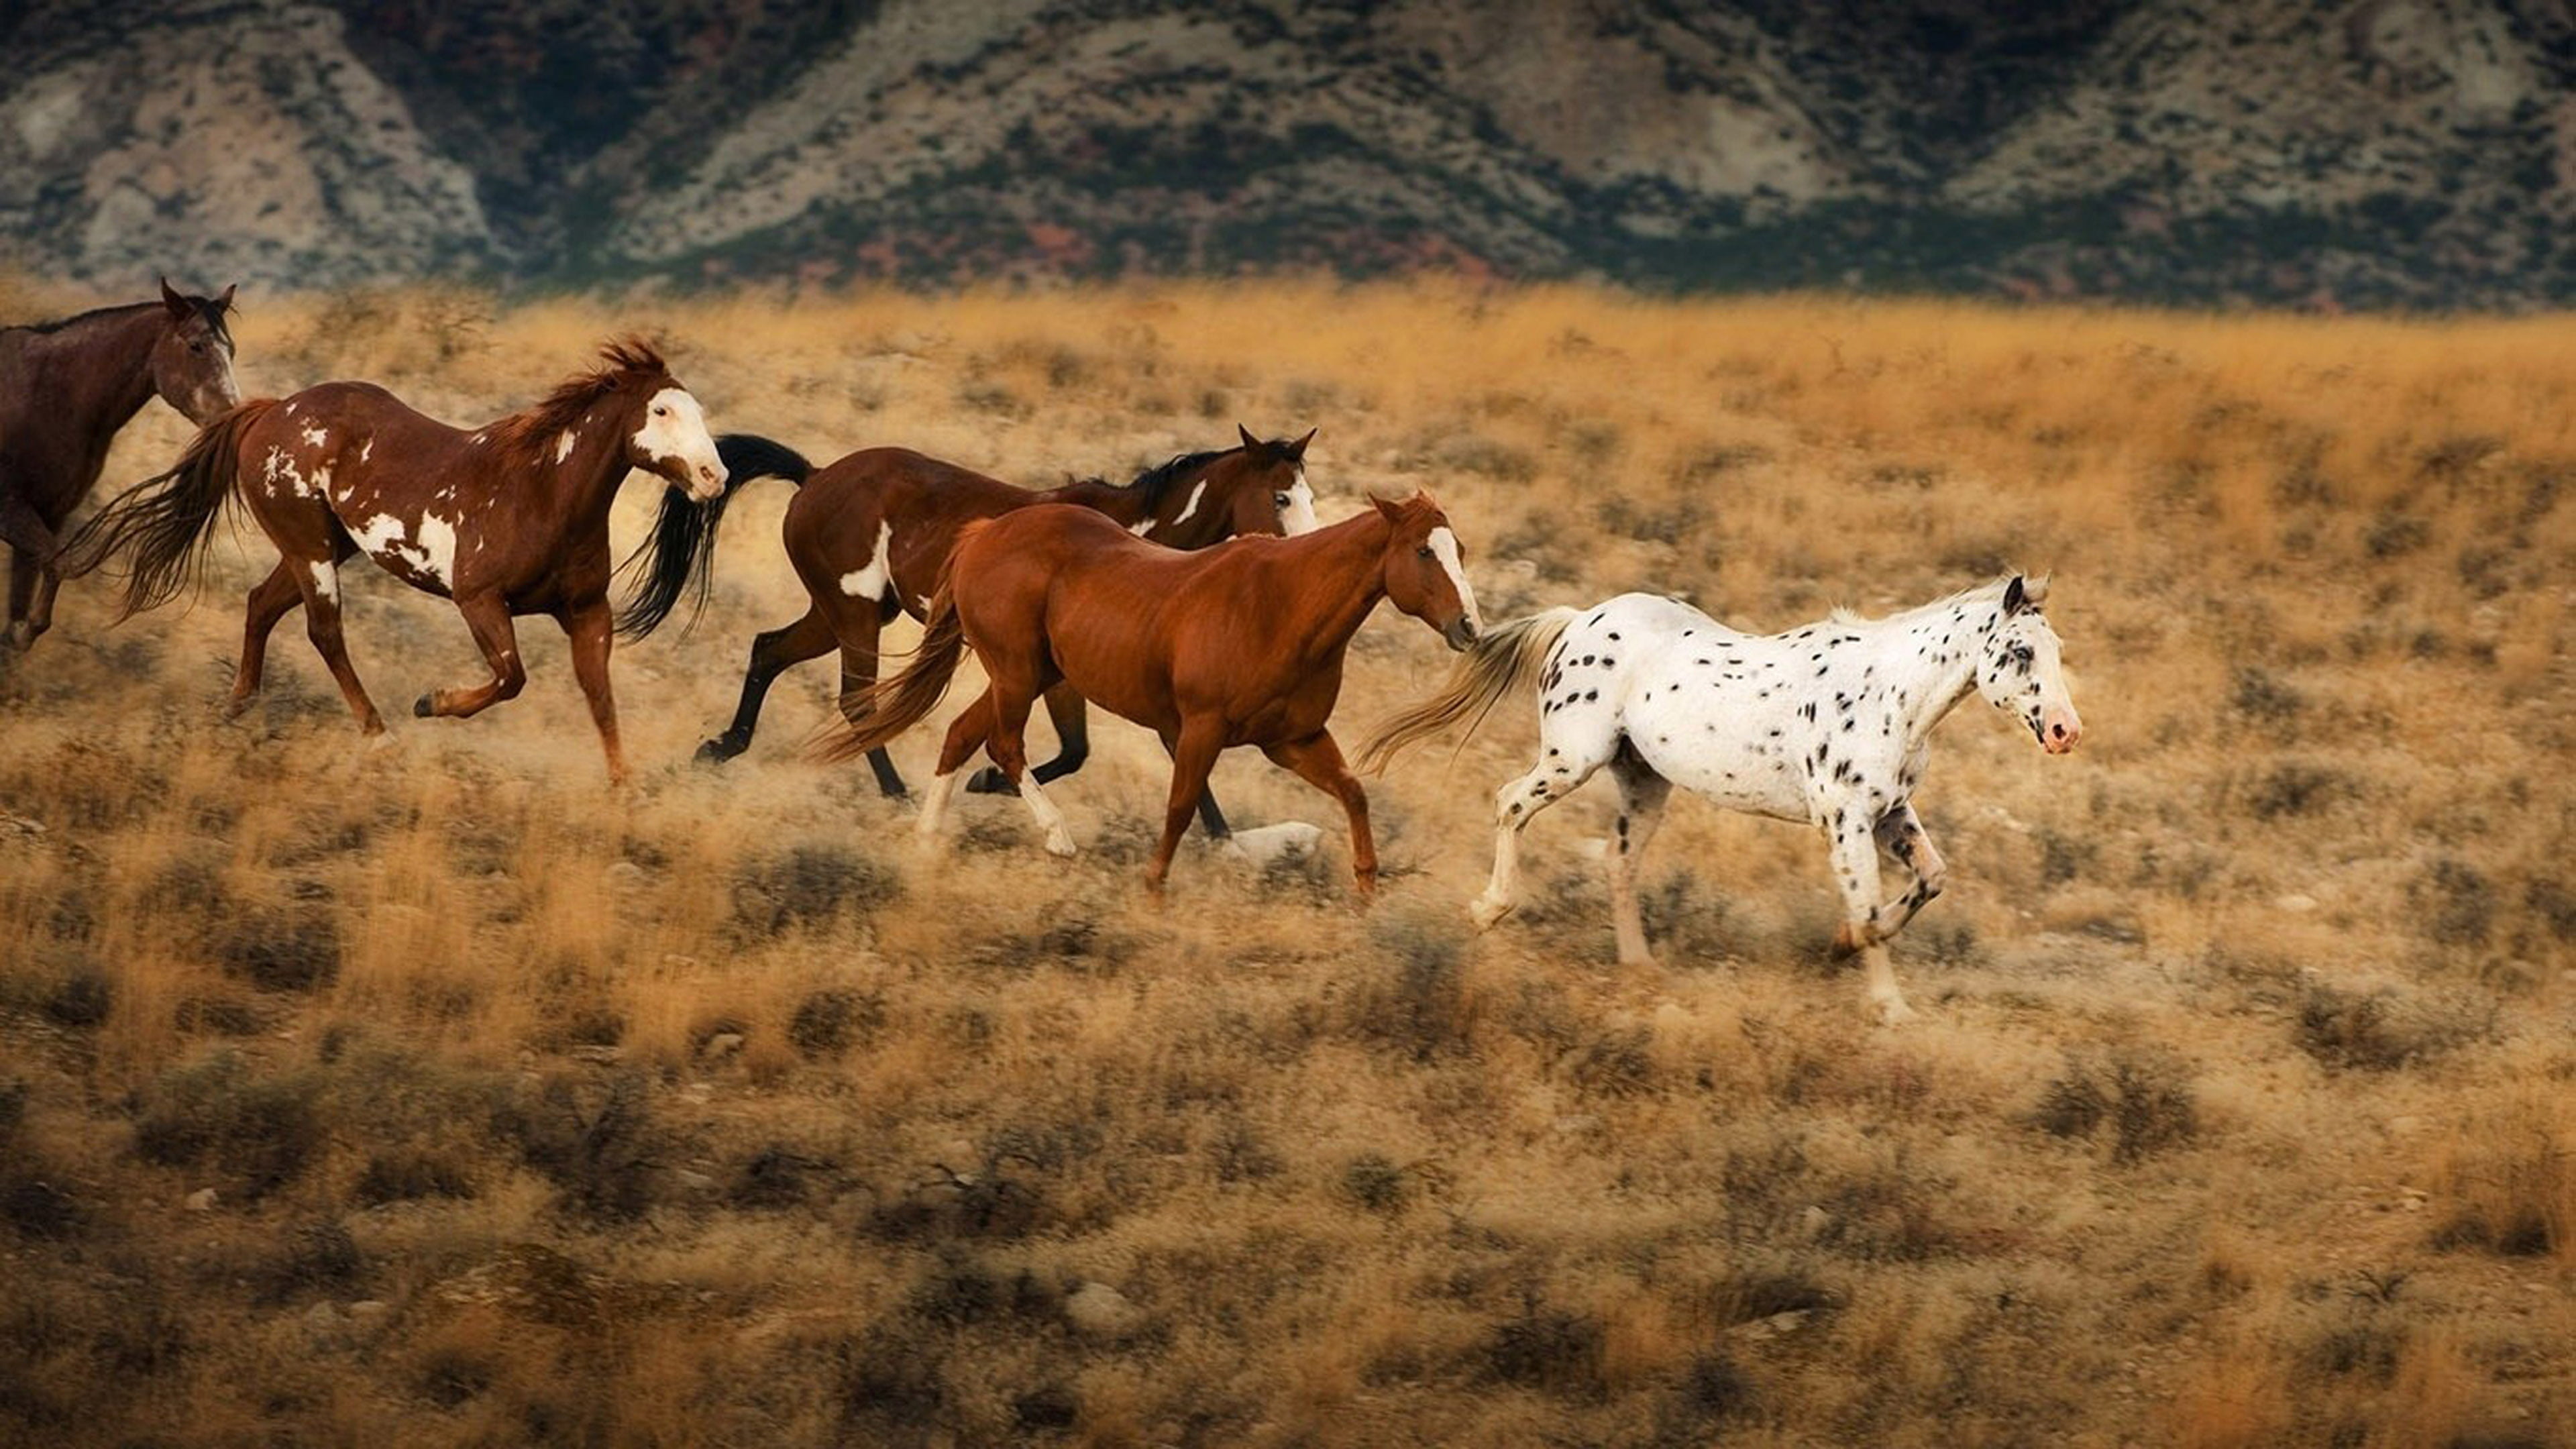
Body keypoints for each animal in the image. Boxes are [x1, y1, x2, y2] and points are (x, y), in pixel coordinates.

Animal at [0, 279, 240, 651]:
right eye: (196, 346)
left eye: (231, 351)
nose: (233, 417)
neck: (51, 395)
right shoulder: (11, 510)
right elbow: (60, 565)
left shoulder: (48, 515)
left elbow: (26, 601)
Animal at [65, 339, 727, 783]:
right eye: (661, 412)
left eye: (697, 411)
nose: (713, 476)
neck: (543, 492)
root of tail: (270, 411)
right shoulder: (478, 600)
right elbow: (511, 677)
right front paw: (431, 703)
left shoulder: (586, 611)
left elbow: (599, 695)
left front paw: (623, 789)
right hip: (309, 549)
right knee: (324, 632)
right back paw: (379, 734)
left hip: (325, 548)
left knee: (261, 605)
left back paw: (237, 707)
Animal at [683, 425, 1318, 818]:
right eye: (1281, 497)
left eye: (1309, 493)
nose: (1308, 553)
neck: (1132, 538)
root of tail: (814, 475)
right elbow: (1102, 750)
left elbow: (1102, 750)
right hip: (854, 614)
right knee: (856, 699)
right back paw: (896, 794)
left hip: (840, 612)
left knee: (768, 650)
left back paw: (719, 748)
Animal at [827, 493, 1481, 895]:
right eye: (1425, 551)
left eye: (1460, 551)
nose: (1469, 627)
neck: (1280, 606)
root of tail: (987, 533)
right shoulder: (1201, 728)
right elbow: (1181, 806)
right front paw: (1154, 889)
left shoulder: (1293, 740)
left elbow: (1353, 793)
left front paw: (1367, 887)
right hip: (1016, 673)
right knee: (1003, 745)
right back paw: (1057, 838)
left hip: (1033, 675)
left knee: (963, 734)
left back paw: (928, 839)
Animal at [1358, 575, 2082, 1024]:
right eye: (2019, 652)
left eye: (2057, 650)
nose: (2064, 731)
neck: (1887, 694)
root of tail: (1577, 621)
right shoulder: (1844, 822)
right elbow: (1872, 912)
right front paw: (1886, 1003)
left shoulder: (1890, 815)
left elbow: (1931, 880)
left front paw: (1844, 949)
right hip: (1572, 759)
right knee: (1510, 803)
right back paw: (1488, 911)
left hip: (1644, 784)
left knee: (1618, 861)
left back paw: (1639, 965)